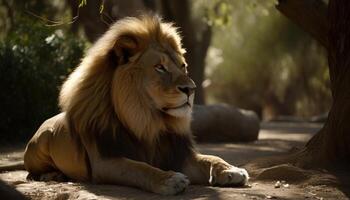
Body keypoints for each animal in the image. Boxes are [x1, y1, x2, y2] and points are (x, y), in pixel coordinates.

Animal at [23, 14, 249, 195]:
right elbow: (139, 168)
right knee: (31, 172)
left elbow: (210, 157)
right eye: (160, 67)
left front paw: (231, 170)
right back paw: (52, 175)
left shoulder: (177, 155)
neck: (147, 121)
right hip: (42, 141)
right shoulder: (105, 162)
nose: (191, 89)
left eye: (183, 66)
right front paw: (169, 179)